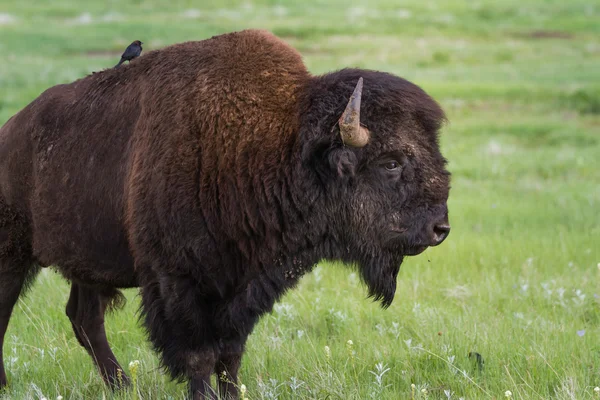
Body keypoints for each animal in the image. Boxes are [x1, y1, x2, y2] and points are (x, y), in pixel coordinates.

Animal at [0, 29, 450, 398]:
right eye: (390, 162)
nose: (439, 228)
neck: (272, 142)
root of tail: (11, 129)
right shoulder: (177, 283)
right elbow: (199, 356)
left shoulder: (243, 287)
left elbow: (229, 356)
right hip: (14, 254)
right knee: (11, 310)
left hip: (87, 265)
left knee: (85, 319)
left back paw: (122, 387)